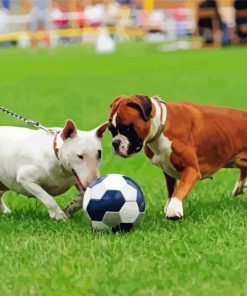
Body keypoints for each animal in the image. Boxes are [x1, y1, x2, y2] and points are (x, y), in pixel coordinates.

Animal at [107, 95, 247, 220]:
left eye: (127, 129)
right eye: (111, 130)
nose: (115, 143)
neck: (160, 128)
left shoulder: (192, 170)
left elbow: (180, 189)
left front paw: (174, 208)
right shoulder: (168, 171)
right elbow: (171, 190)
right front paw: (169, 205)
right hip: (238, 160)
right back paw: (239, 187)